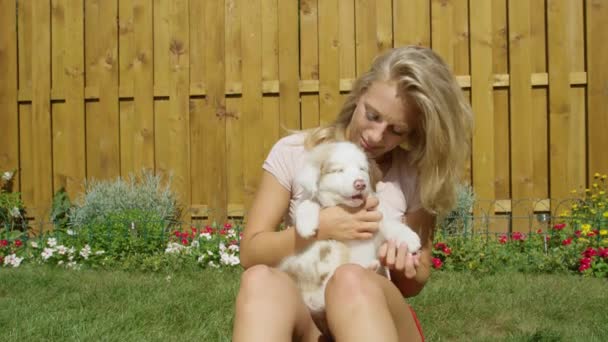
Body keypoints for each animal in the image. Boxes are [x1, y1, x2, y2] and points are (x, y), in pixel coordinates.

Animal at [278, 141, 420, 312]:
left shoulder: (377, 219)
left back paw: (370, 267)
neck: (348, 208)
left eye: (362, 169)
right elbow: (308, 202)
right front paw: (306, 225)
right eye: (339, 170)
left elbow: (392, 224)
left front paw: (410, 239)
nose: (360, 184)